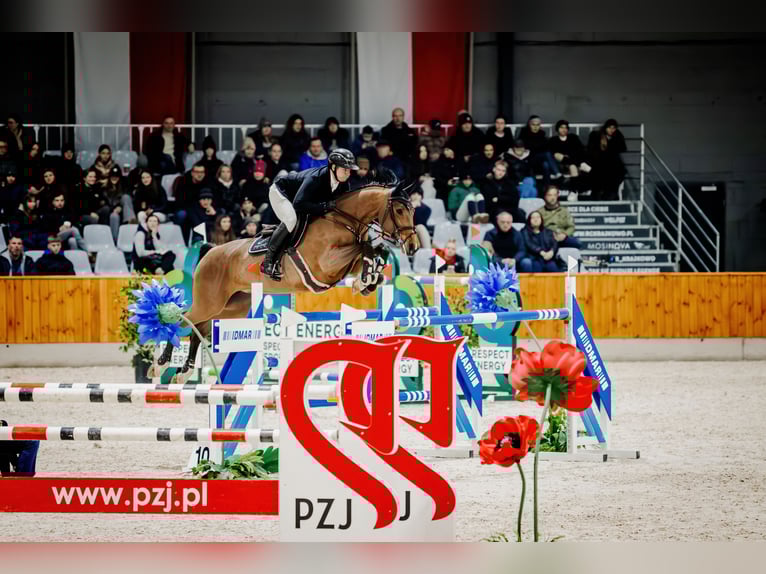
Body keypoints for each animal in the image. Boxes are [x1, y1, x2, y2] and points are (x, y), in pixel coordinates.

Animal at [151, 180, 420, 382]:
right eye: (399, 210)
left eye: (412, 210)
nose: (413, 247)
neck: (343, 221)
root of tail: (210, 251)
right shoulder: (324, 265)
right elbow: (362, 248)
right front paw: (366, 278)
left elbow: (370, 252)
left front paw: (369, 279)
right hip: (210, 301)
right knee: (184, 318)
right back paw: (162, 363)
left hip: (231, 307)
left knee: (200, 327)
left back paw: (183, 370)